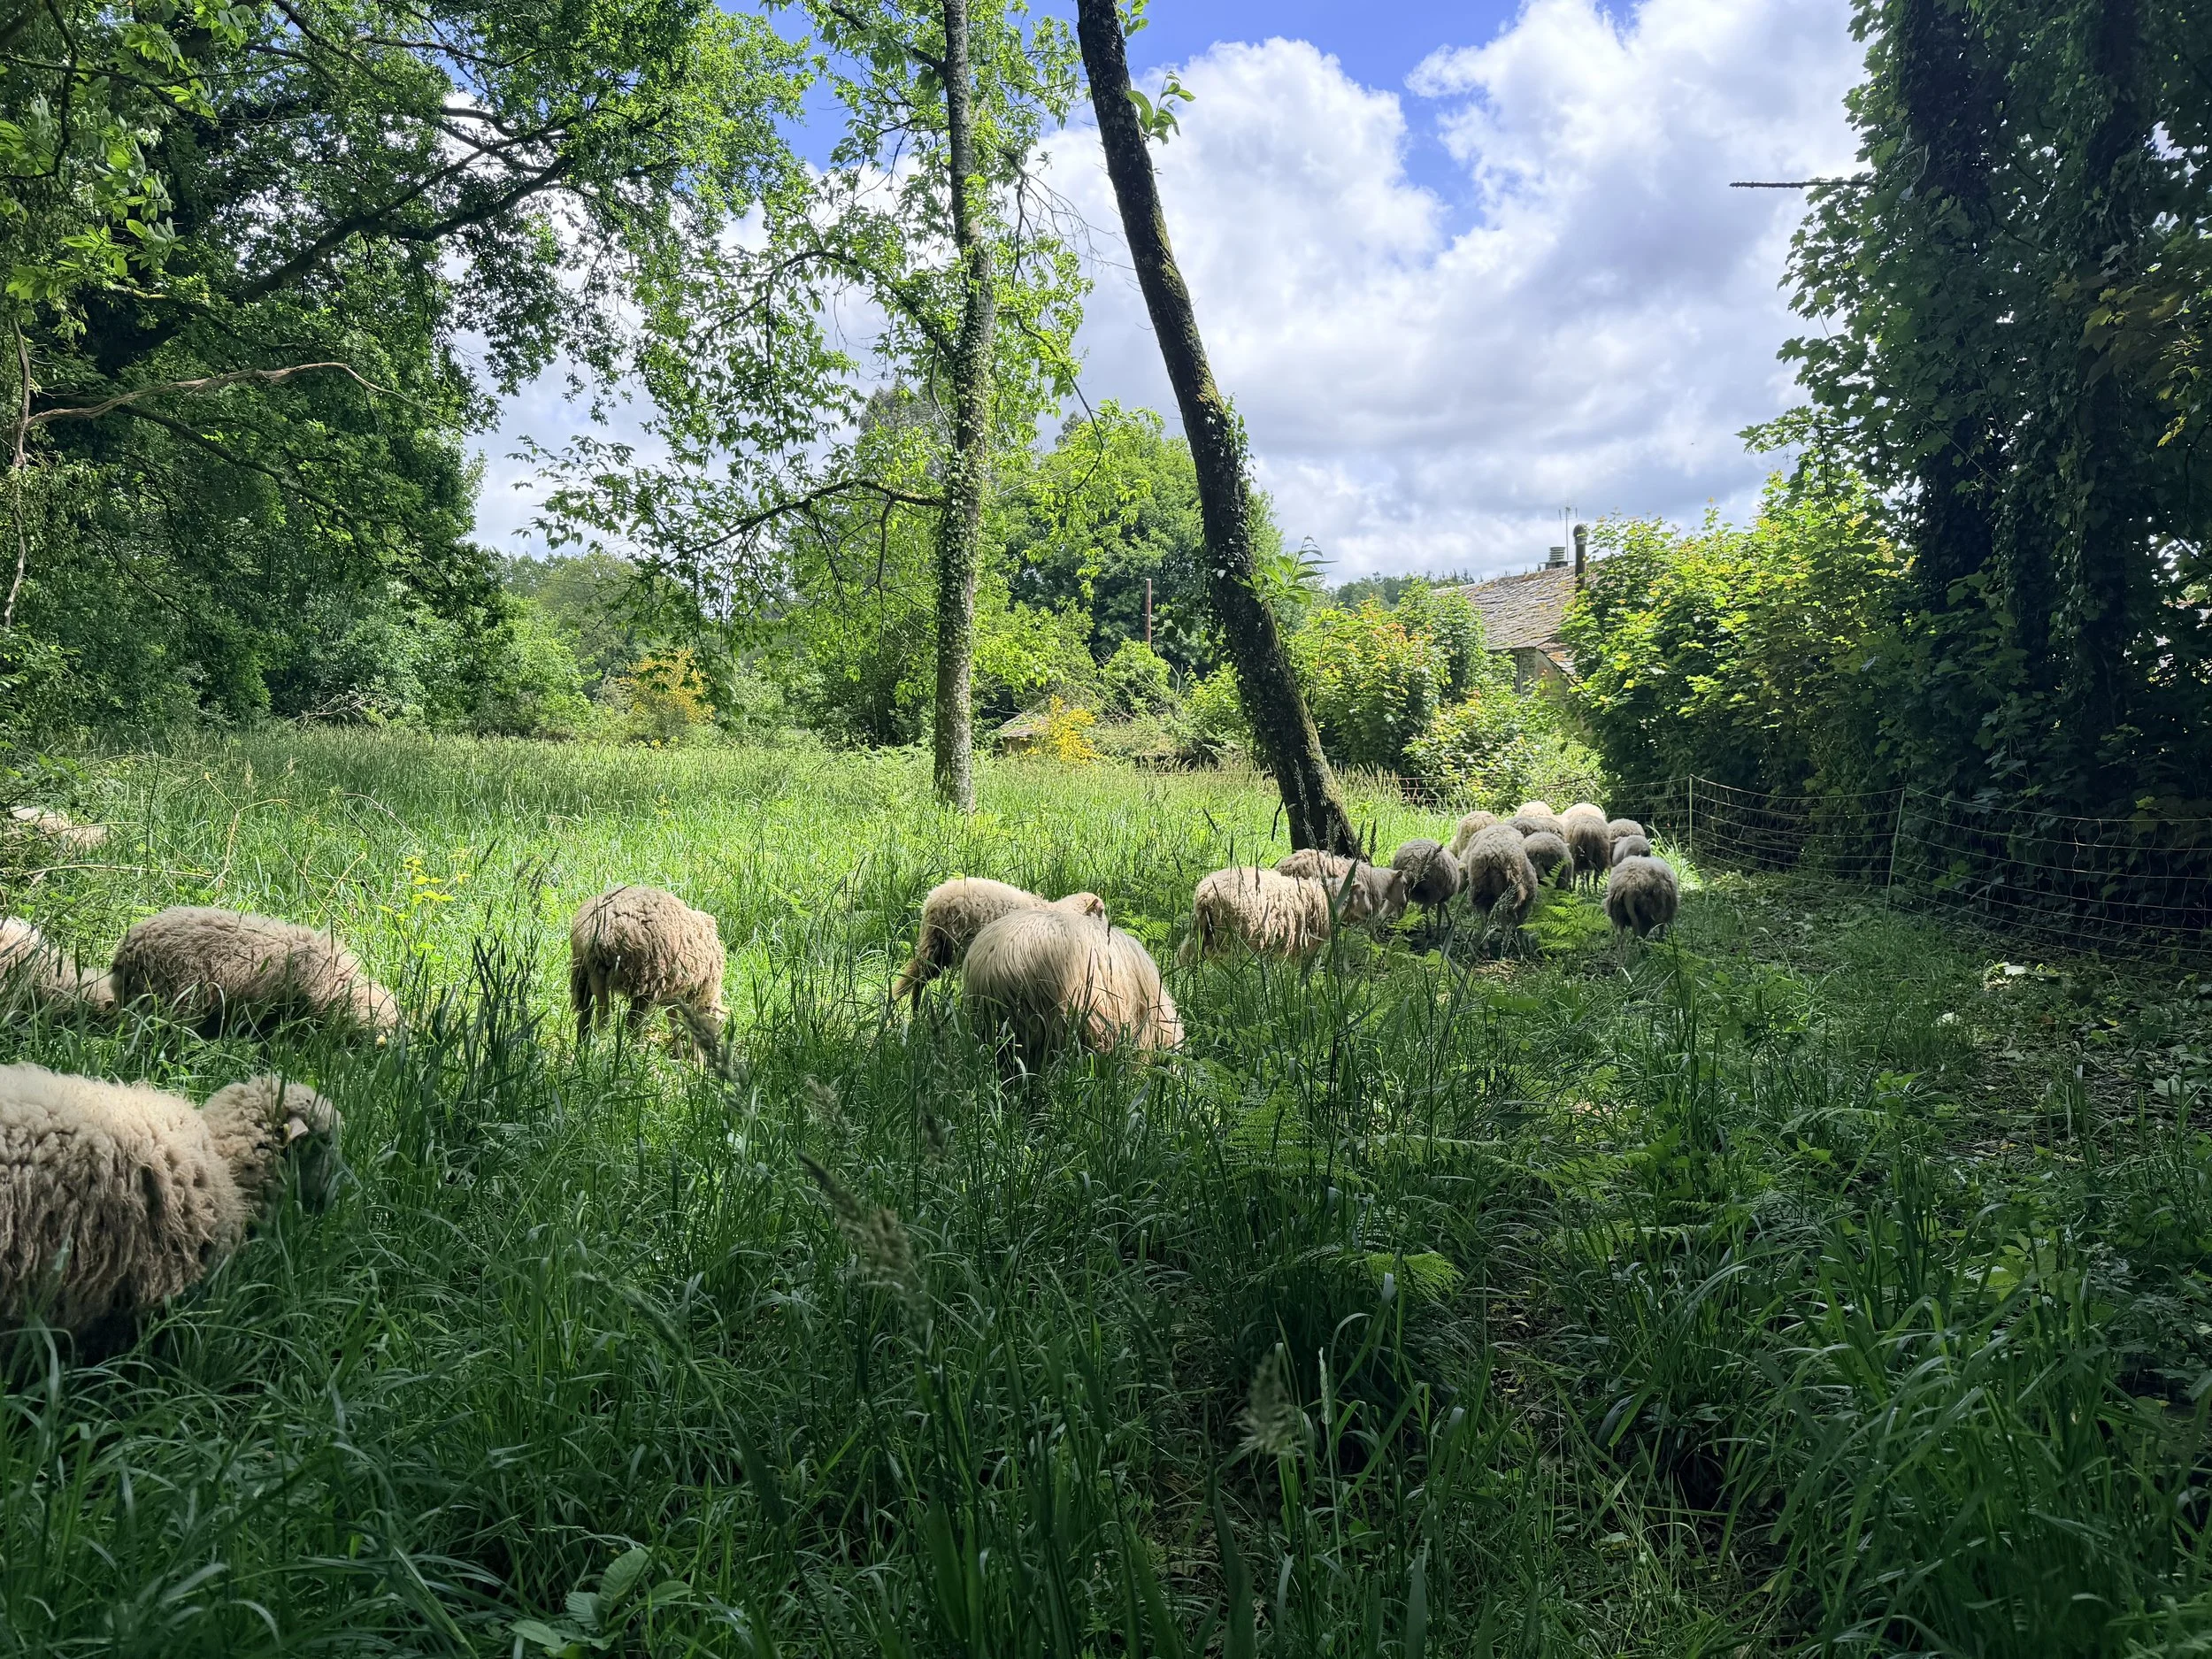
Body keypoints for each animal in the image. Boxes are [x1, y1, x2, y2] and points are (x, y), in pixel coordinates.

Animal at [570, 885, 726, 1058]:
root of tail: (599, 931)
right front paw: (694, 1058)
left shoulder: (673, 997)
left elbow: (674, 1022)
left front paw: (681, 1054)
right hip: (645, 980)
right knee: (625, 1023)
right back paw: (634, 1053)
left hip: (584, 973)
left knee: (586, 1015)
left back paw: (582, 1049)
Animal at [1181, 865, 1407, 963]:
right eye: (1362, 893)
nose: (1370, 912)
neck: (1327, 897)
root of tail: (1206, 895)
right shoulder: (1306, 943)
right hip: (1232, 936)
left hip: (1200, 931)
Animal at [1459, 824, 1539, 948]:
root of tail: (1497, 857)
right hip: (1520, 890)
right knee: (1506, 913)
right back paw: (1510, 940)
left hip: (1481, 890)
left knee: (1484, 916)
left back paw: (1485, 943)